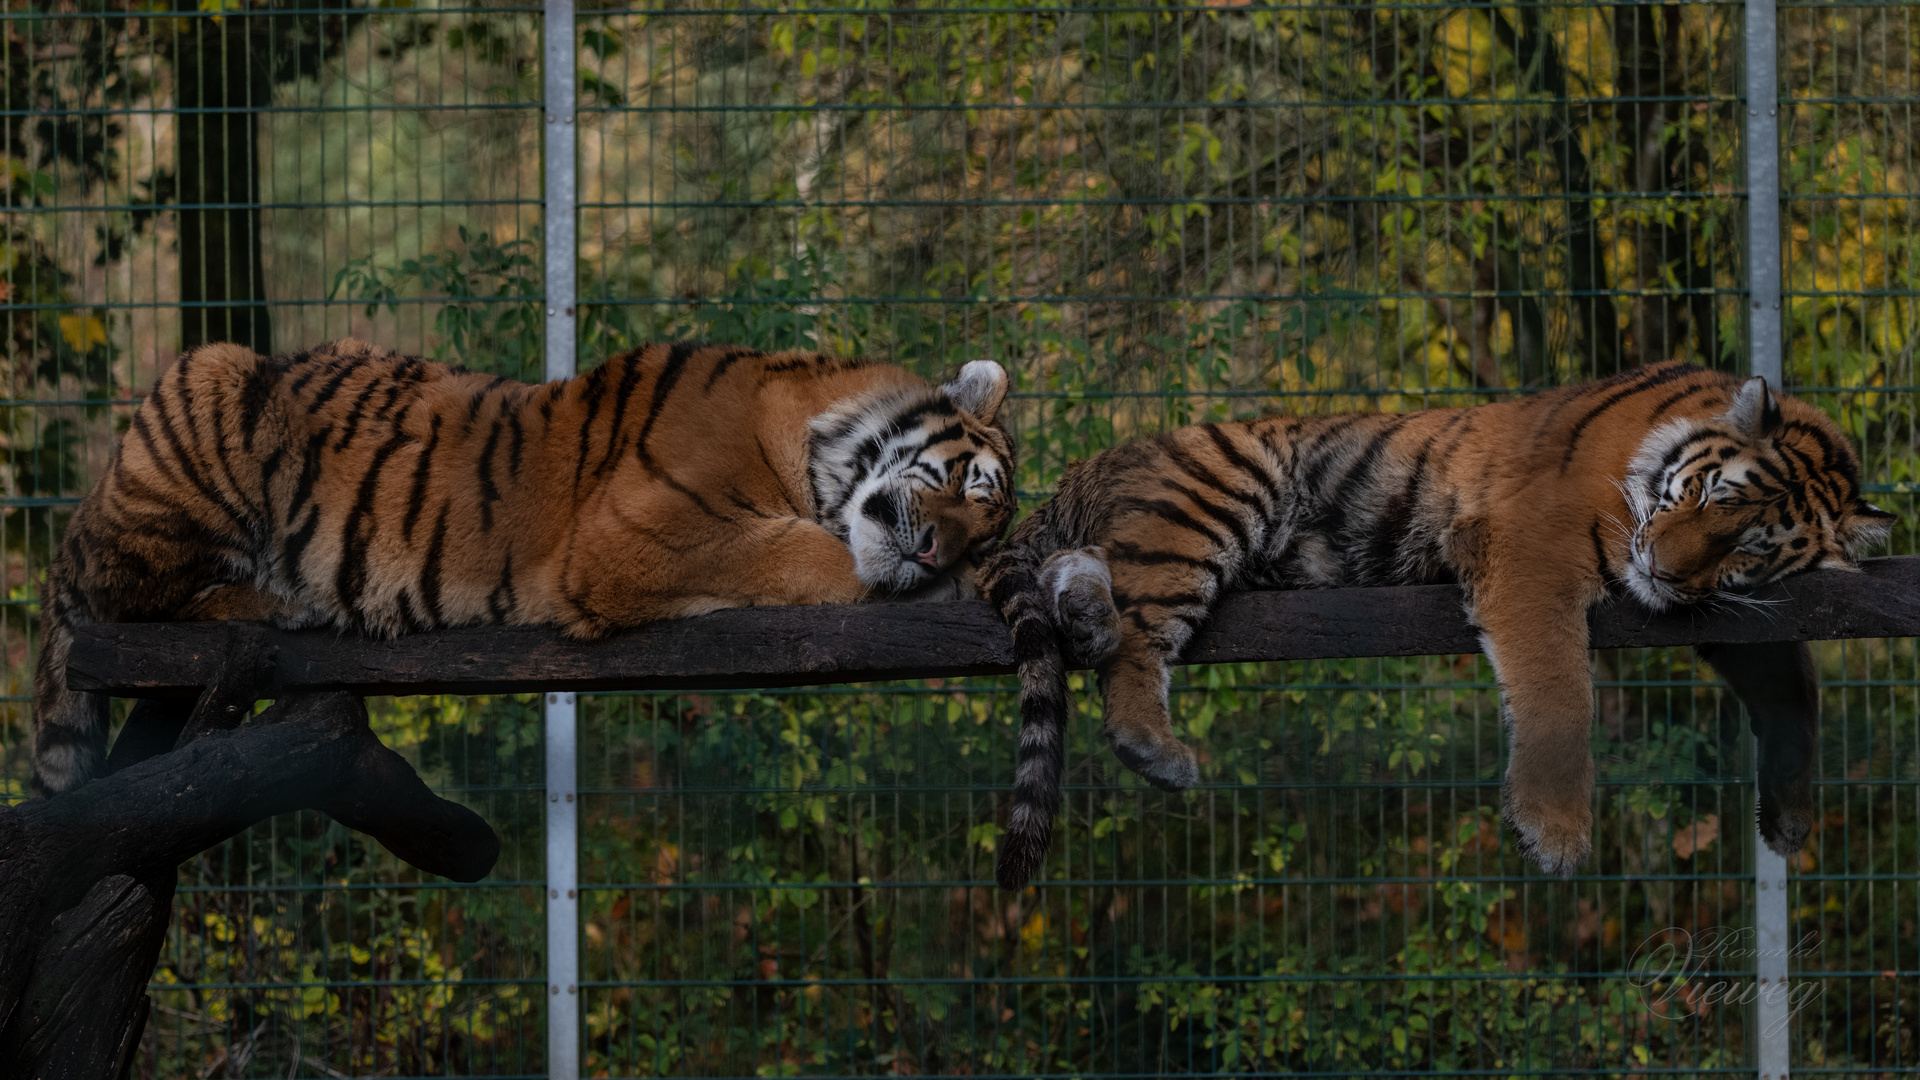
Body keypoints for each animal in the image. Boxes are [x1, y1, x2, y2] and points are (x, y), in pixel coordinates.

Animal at [33, 336, 1021, 791]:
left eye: (982, 532)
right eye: (962, 483)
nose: (935, 549)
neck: (806, 442)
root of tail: (82, 515)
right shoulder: (639, 536)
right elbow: (814, 555)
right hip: (209, 379)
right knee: (129, 596)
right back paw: (280, 605)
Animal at [990, 365, 1889, 887]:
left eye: (1745, 549)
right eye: (1704, 496)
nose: (1664, 572)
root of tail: (1085, 469)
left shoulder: (1725, 610)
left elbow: (1792, 681)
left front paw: (1793, 814)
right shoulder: (1529, 545)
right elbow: (1559, 691)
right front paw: (1555, 833)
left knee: (1082, 578)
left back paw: (1084, 611)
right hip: (1221, 486)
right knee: (1136, 636)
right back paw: (1153, 743)